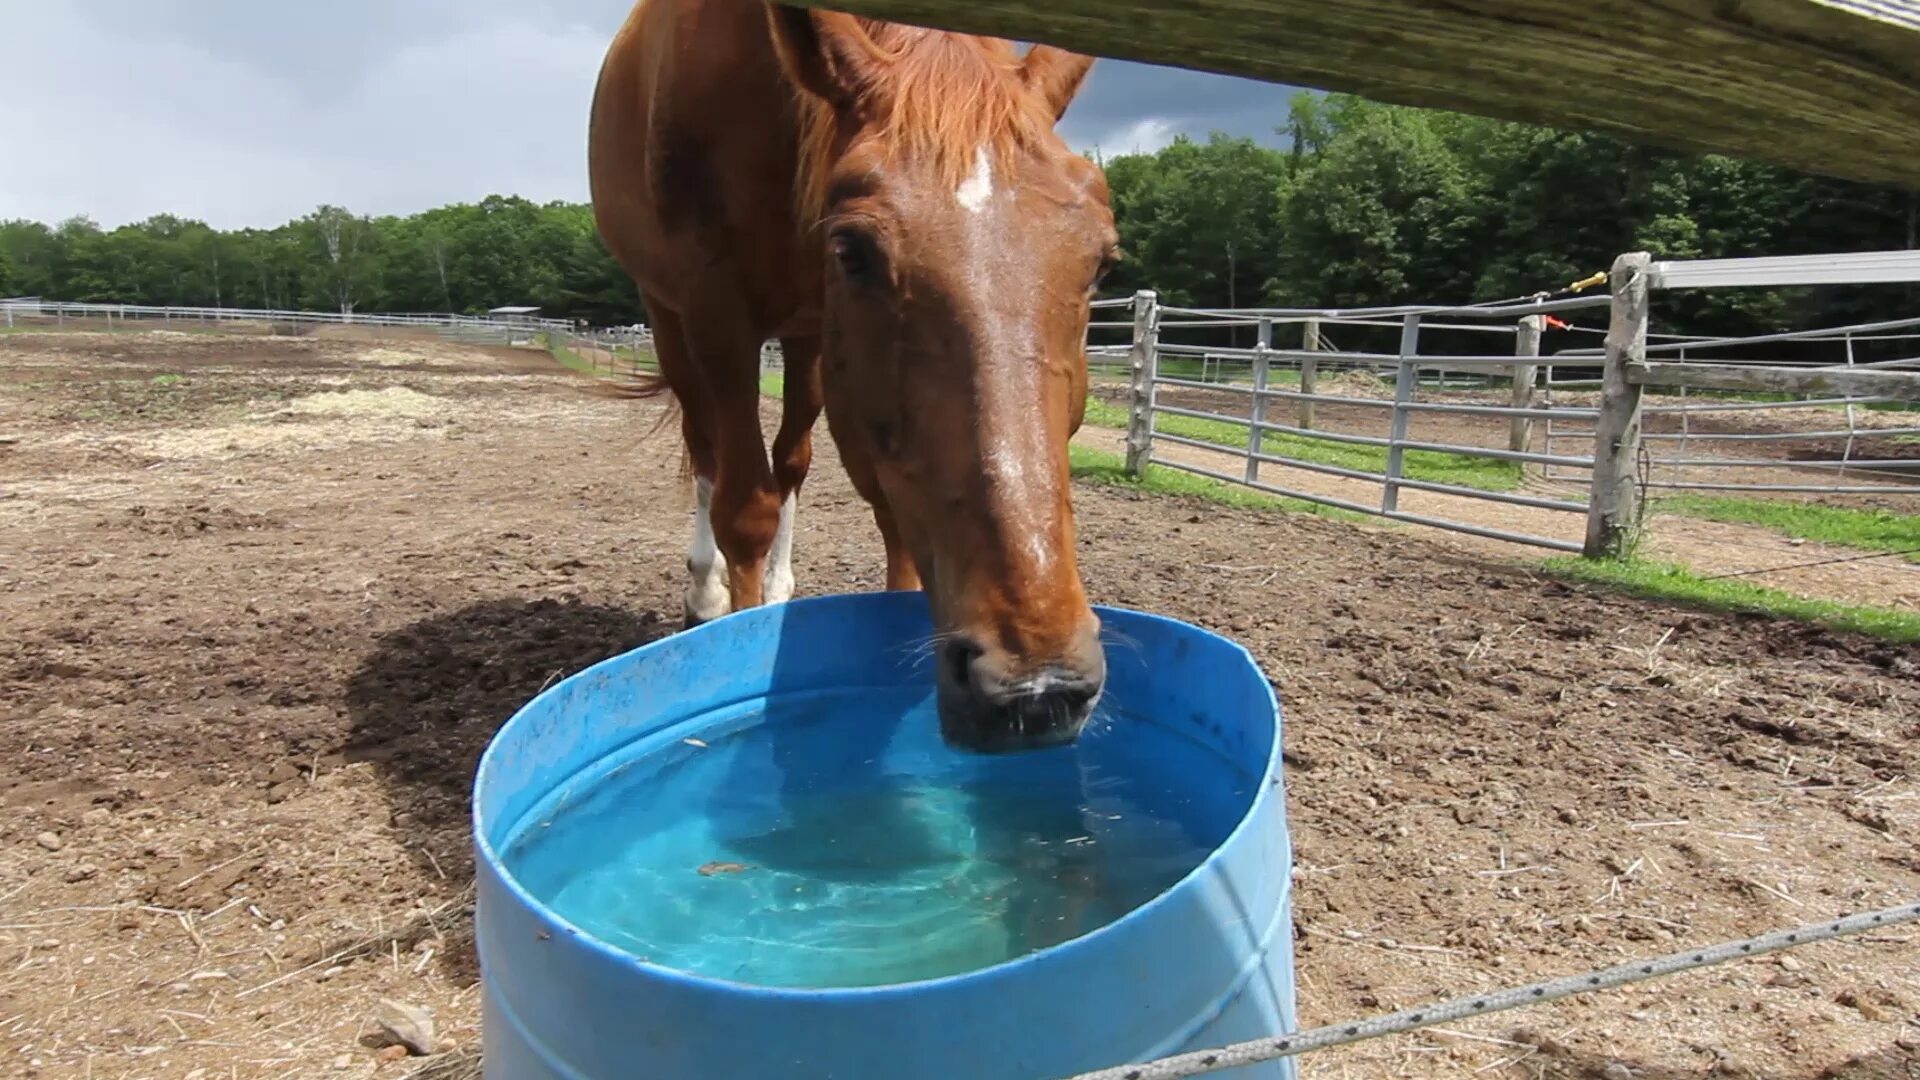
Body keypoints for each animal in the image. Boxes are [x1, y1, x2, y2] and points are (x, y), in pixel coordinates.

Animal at [591, 0, 1121, 749]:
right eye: (853, 251)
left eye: (1101, 262)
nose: (1038, 685)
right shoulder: (714, 312)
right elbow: (743, 508)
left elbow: (884, 514)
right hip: (670, 320)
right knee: (706, 452)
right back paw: (707, 592)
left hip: (808, 342)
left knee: (791, 461)